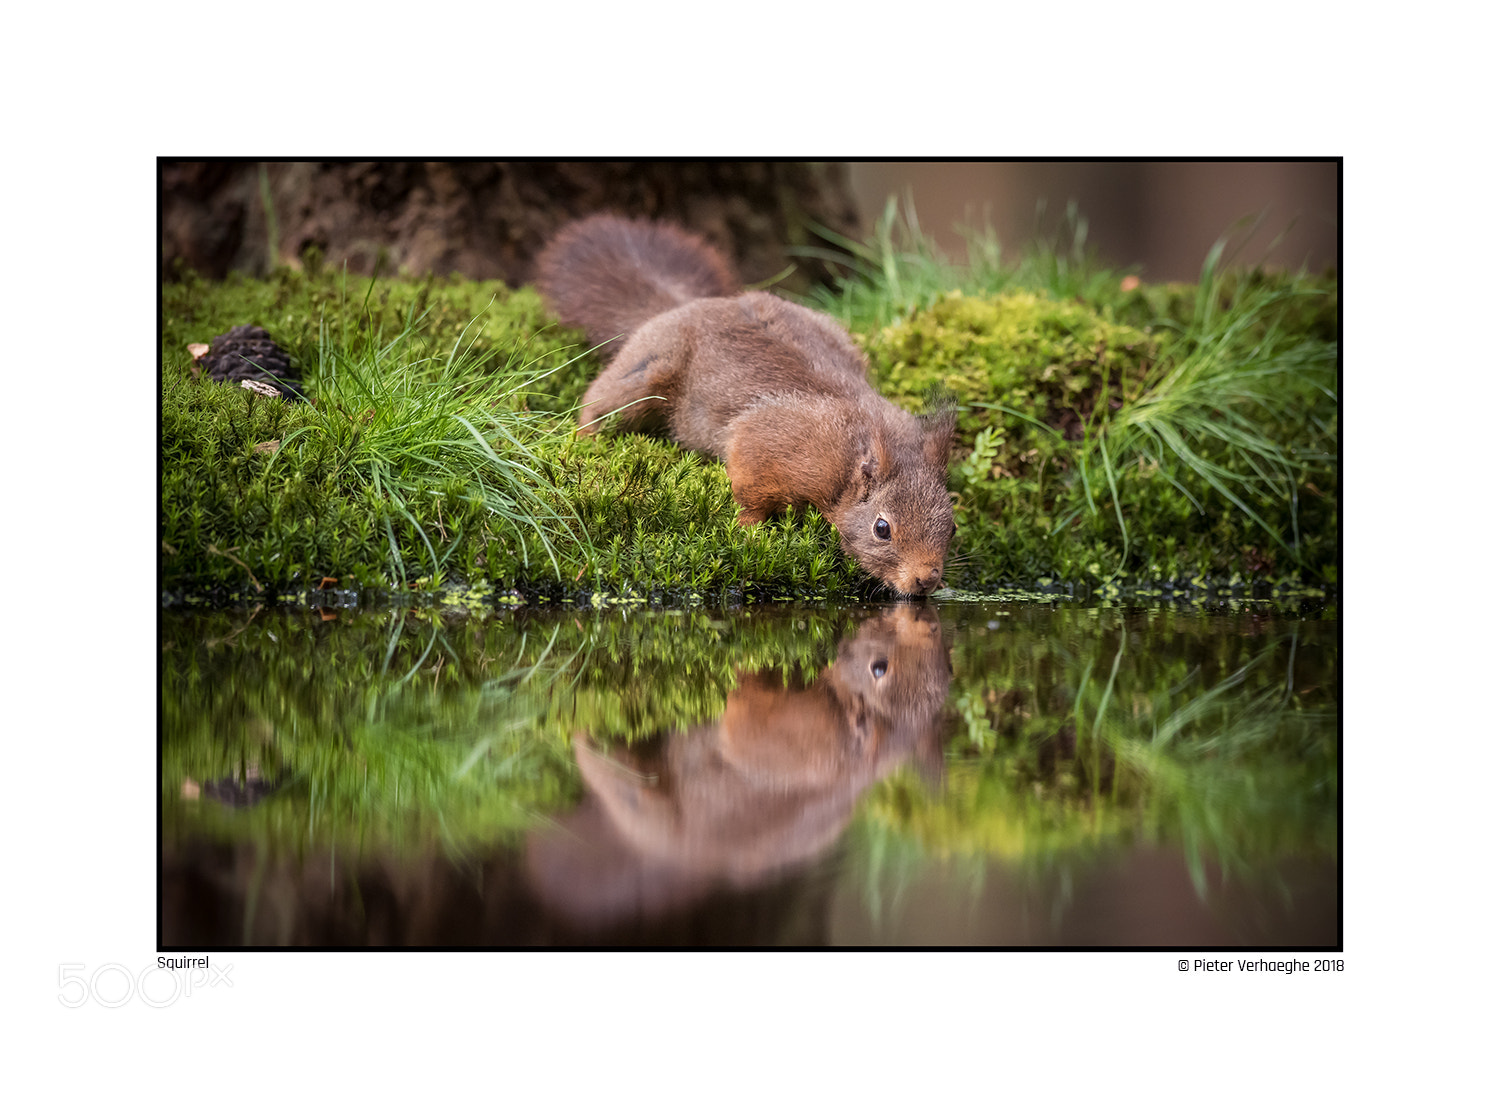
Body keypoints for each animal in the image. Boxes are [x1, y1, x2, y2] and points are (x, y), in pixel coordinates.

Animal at [534, 214, 956, 596]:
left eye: (952, 526)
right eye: (882, 529)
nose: (926, 580)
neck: (853, 456)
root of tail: (682, 307)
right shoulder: (770, 442)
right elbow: (750, 489)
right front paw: (748, 528)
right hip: (648, 371)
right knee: (600, 403)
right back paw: (586, 436)